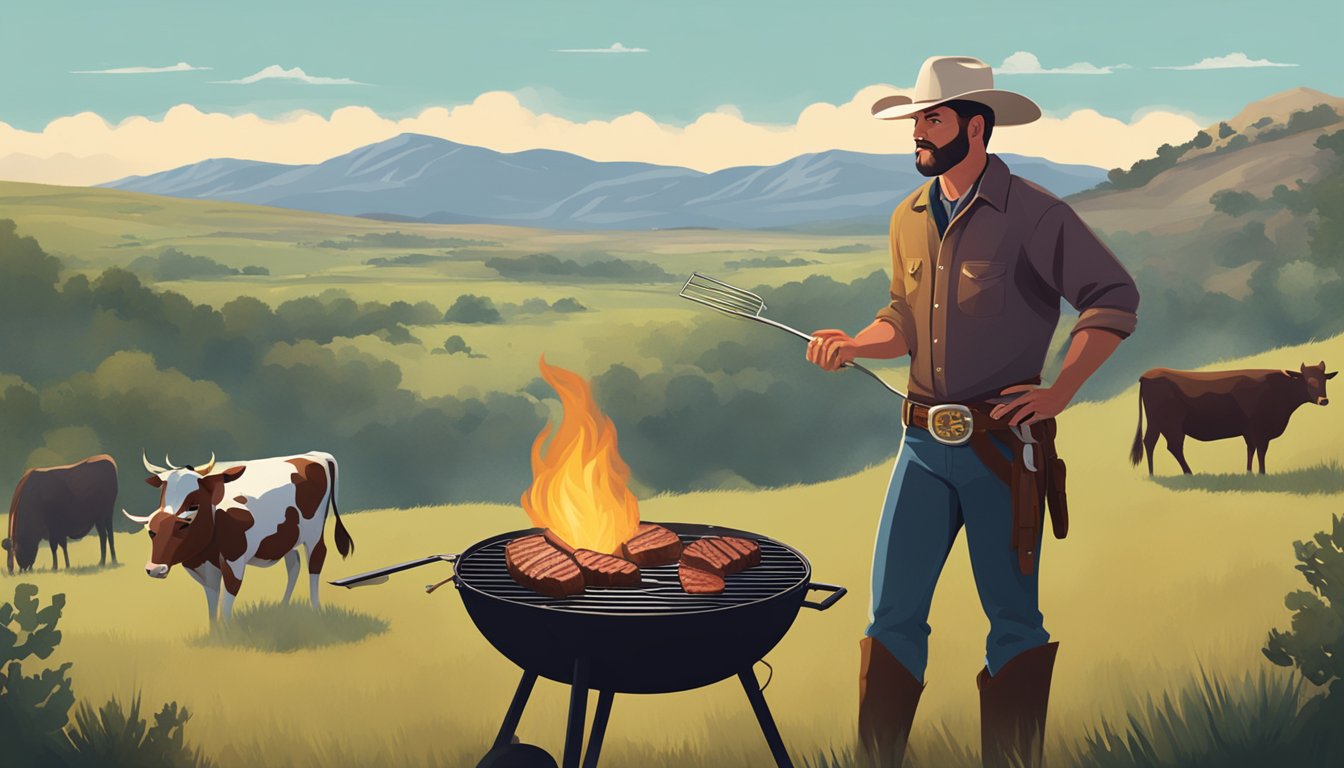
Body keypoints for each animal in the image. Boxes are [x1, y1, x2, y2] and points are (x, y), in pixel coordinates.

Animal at [122, 451, 352, 624]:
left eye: (184, 523)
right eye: (152, 531)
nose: (154, 569)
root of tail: (314, 455)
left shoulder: (234, 560)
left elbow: (227, 598)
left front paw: (229, 633)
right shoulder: (205, 567)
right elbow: (212, 602)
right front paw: (215, 636)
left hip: (313, 533)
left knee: (315, 561)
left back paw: (315, 610)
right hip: (288, 536)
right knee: (294, 565)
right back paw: (283, 608)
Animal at [1128, 360, 1338, 476]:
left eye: (1324, 380)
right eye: (1307, 381)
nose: (1324, 400)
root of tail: (1147, 375)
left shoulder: (1249, 431)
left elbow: (1250, 449)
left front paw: (1249, 472)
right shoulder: (1259, 429)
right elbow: (1261, 451)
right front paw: (1262, 473)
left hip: (1155, 423)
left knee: (1150, 443)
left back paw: (1153, 474)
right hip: (1171, 424)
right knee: (1174, 446)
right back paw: (1189, 473)